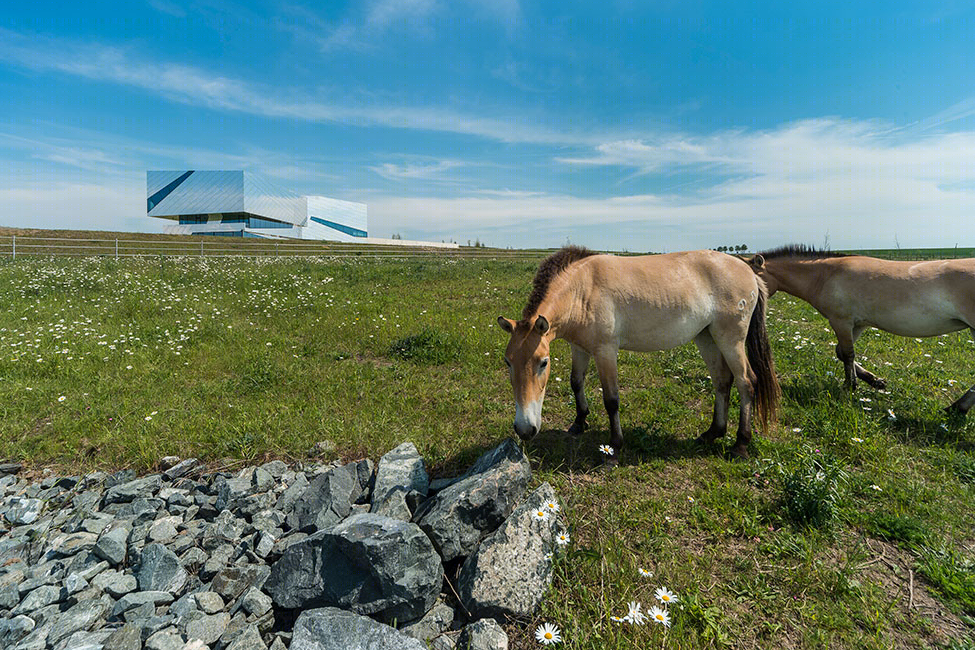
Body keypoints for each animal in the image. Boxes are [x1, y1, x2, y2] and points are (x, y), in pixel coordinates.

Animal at [500, 244, 780, 460]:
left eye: (543, 363)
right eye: (508, 363)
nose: (524, 429)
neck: (582, 290)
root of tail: (749, 271)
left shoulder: (605, 351)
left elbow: (611, 400)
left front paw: (614, 447)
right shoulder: (579, 348)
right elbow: (576, 382)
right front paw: (580, 422)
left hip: (730, 340)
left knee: (746, 382)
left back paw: (740, 444)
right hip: (707, 338)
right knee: (722, 381)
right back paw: (712, 433)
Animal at [752, 246, 972, 412]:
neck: (825, 276)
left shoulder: (841, 322)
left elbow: (848, 354)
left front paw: (851, 385)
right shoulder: (857, 324)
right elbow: (841, 353)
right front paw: (874, 381)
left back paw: (957, 407)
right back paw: (957, 408)